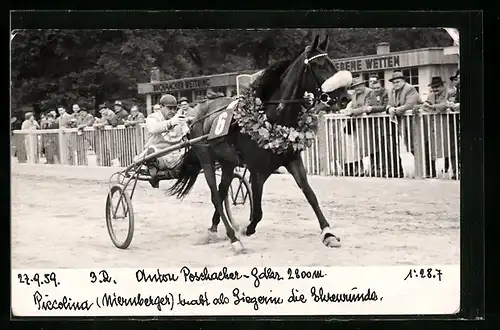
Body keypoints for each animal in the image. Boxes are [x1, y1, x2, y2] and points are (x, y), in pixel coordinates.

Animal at [167, 34, 352, 253]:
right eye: (320, 65)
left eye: (332, 63)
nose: (345, 97)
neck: (273, 117)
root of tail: (195, 114)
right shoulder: (257, 170)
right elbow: (257, 212)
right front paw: (246, 228)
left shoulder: (292, 161)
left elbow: (310, 194)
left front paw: (328, 234)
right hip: (206, 158)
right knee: (215, 195)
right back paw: (233, 238)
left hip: (228, 163)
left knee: (221, 191)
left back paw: (213, 230)